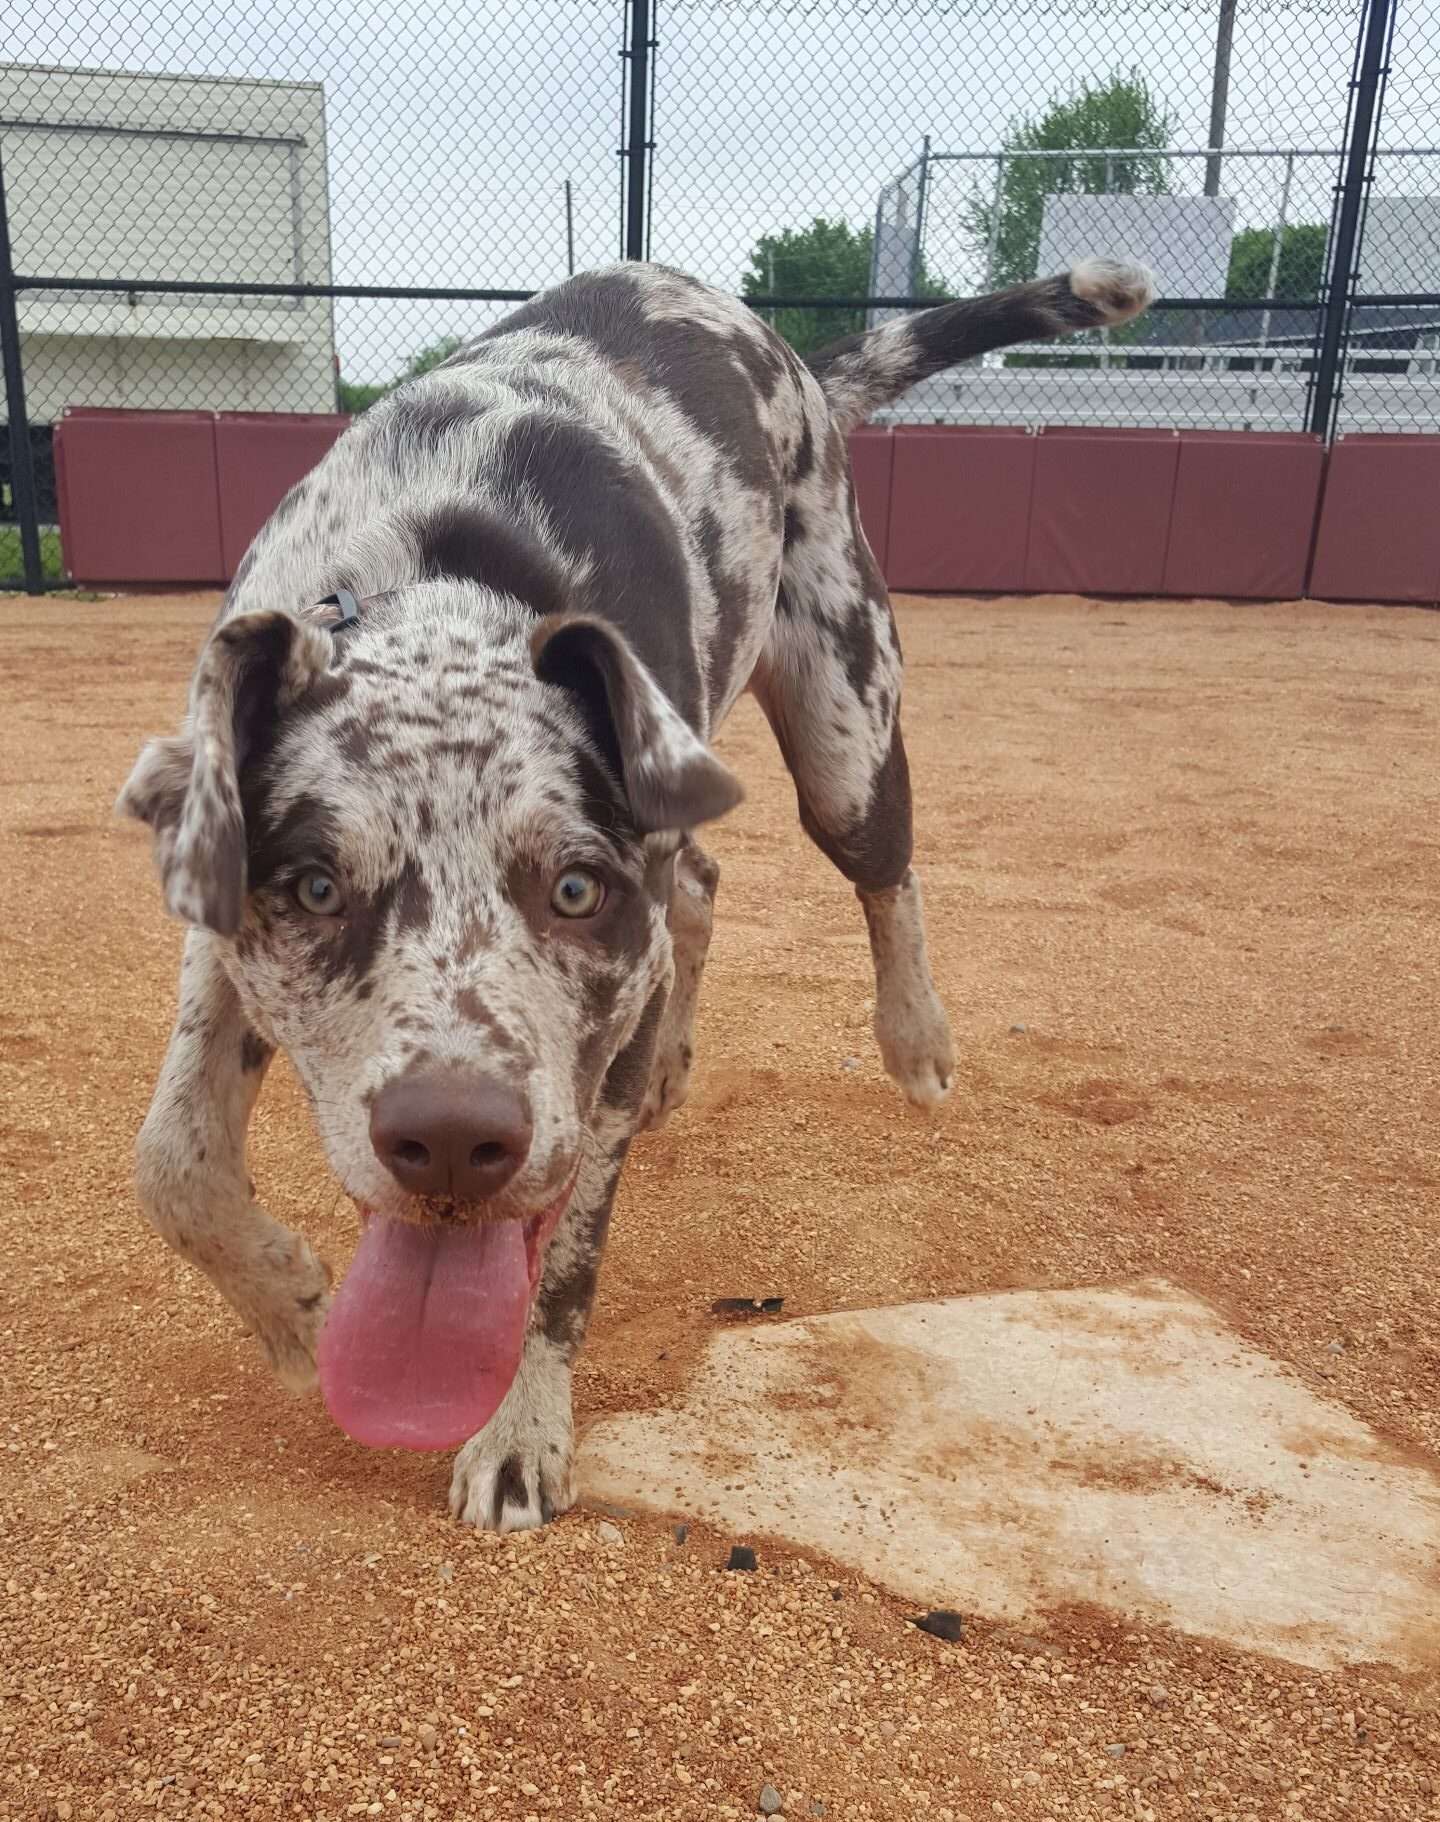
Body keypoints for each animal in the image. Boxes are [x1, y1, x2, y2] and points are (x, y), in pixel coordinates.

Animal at [123, 256, 1159, 1530]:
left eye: (575, 888)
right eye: (316, 886)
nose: (453, 1141)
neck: (439, 584)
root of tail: (790, 354)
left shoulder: (594, 1049)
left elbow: (562, 1258)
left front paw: (519, 1428)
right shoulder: (219, 929)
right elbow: (173, 1161)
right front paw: (296, 1311)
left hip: (844, 735)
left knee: (887, 874)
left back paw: (914, 1036)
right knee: (703, 884)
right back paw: (677, 1056)